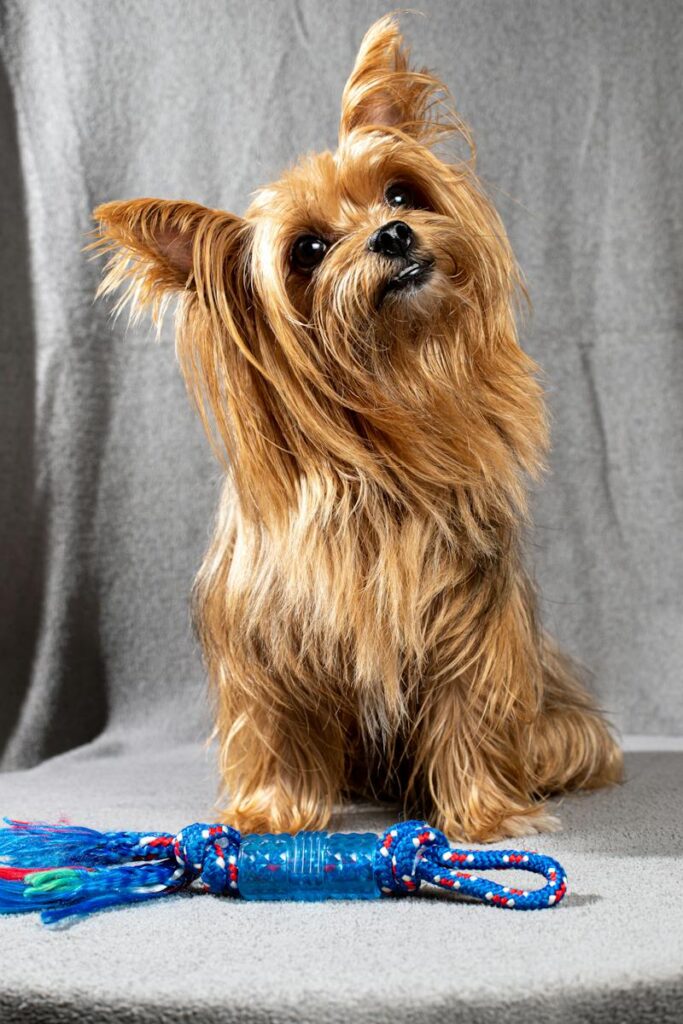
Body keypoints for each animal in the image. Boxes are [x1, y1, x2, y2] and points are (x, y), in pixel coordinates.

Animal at [92, 14, 626, 839]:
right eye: (308, 250)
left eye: (399, 191)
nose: (394, 234)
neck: (376, 456)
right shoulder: (266, 637)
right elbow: (274, 723)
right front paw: (271, 813)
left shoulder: (461, 620)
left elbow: (466, 710)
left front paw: (484, 816)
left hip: (557, 718)